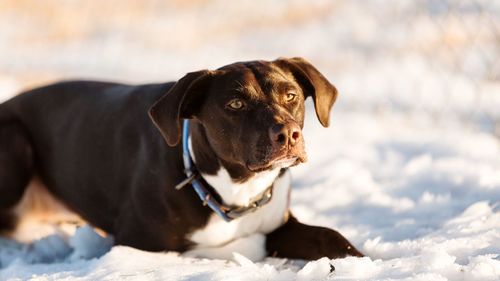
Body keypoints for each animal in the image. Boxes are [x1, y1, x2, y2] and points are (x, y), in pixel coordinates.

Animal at [0, 57, 362, 260]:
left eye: (291, 96)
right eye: (235, 104)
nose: (288, 135)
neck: (234, 191)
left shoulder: (282, 222)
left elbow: (329, 236)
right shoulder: (137, 242)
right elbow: (235, 245)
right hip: (15, 139)